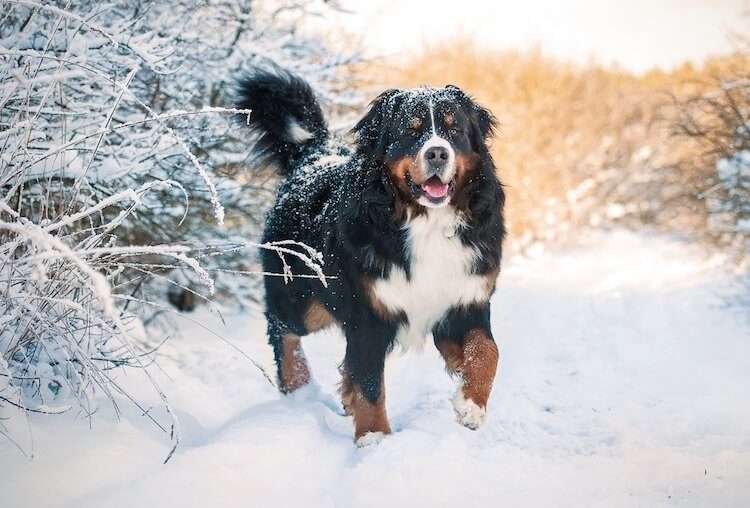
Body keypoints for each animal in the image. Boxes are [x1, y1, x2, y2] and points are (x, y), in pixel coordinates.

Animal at [238, 68, 508, 448]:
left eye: (454, 130)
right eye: (411, 131)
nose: (438, 153)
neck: (425, 222)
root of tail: (314, 155)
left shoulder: (464, 302)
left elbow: (487, 353)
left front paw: (470, 406)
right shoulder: (367, 313)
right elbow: (370, 383)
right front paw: (373, 436)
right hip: (305, 301)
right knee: (282, 329)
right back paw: (299, 387)